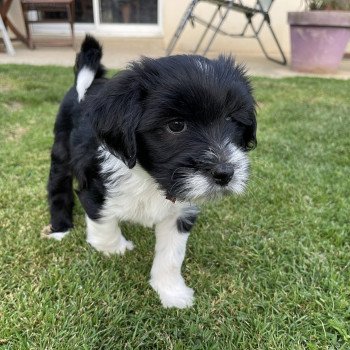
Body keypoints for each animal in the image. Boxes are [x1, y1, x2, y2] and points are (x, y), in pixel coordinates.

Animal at [43, 36, 258, 308]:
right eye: (176, 125)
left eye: (231, 119)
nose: (225, 173)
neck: (150, 178)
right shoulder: (95, 188)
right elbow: (103, 224)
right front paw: (116, 249)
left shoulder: (180, 211)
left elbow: (172, 254)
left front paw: (172, 292)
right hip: (61, 147)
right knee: (58, 185)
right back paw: (60, 228)